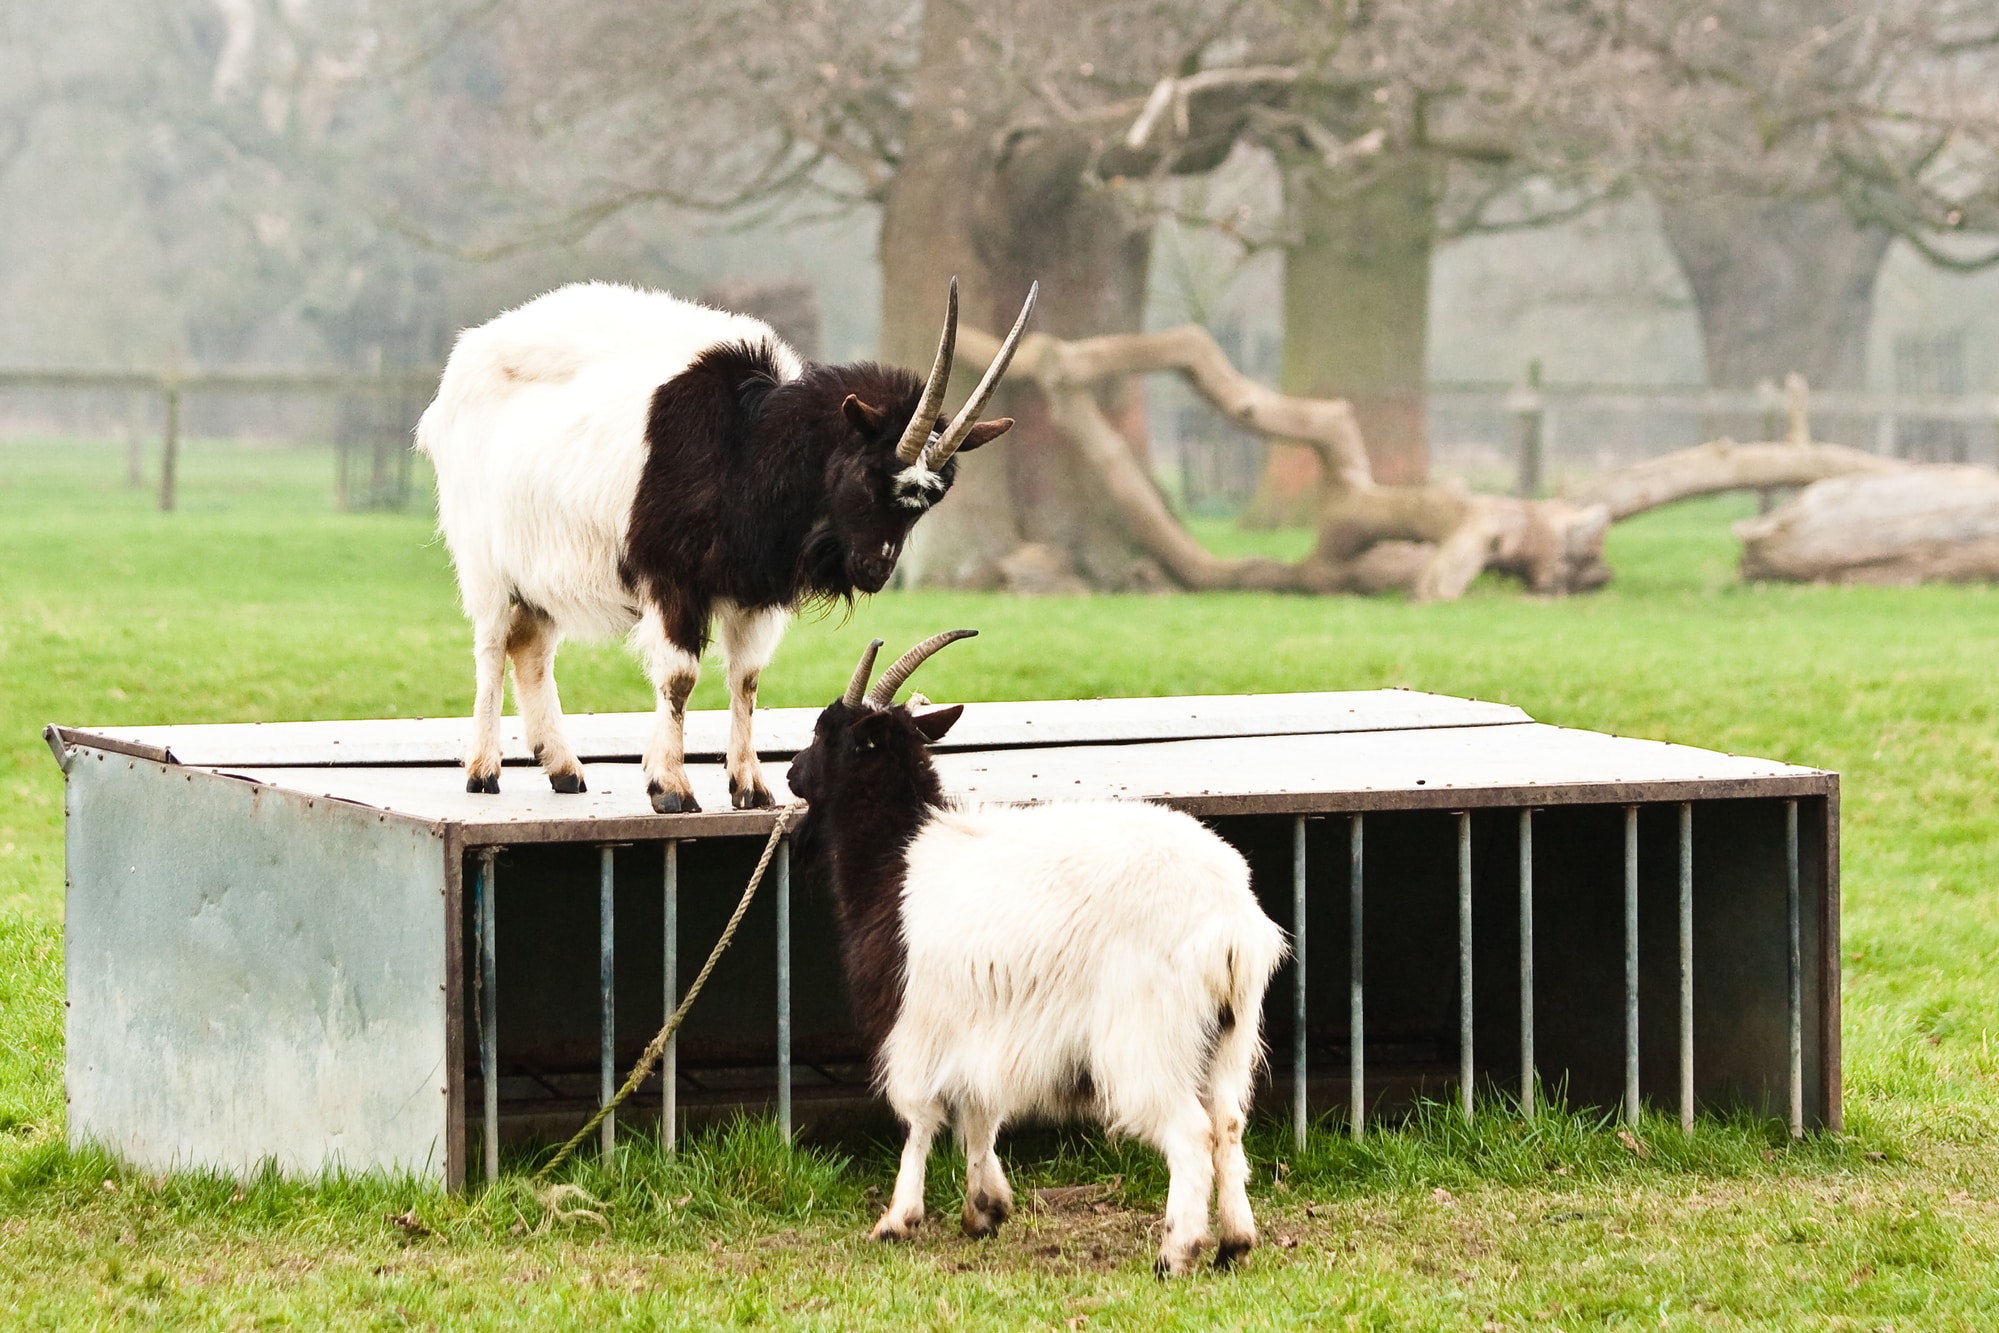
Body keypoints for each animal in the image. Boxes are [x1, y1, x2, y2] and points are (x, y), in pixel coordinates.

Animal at [414, 278, 1036, 811]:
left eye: (932, 497)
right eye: (868, 474)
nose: (876, 570)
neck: (746, 445)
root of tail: (466, 359)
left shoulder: (754, 590)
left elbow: (747, 679)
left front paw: (750, 786)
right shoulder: (672, 580)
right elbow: (681, 677)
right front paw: (670, 787)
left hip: (542, 569)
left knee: (531, 650)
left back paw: (564, 769)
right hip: (485, 561)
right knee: (493, 645)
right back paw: (483, 771)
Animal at [784, 632, 1289, 1276]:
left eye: (828, 731)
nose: (792, 774)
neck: (899, 857)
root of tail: (1228, 922)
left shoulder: (914, 1023)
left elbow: (919, 1116)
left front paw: (897, 1220)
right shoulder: (977, 1029)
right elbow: (978, 1112)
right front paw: (985, 1208)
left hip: (1146, 1039)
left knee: (1190, 1133)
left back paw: (1175, 1253)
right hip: (1227, 1040)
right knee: (1227, 1124)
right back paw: (1234, 1242)